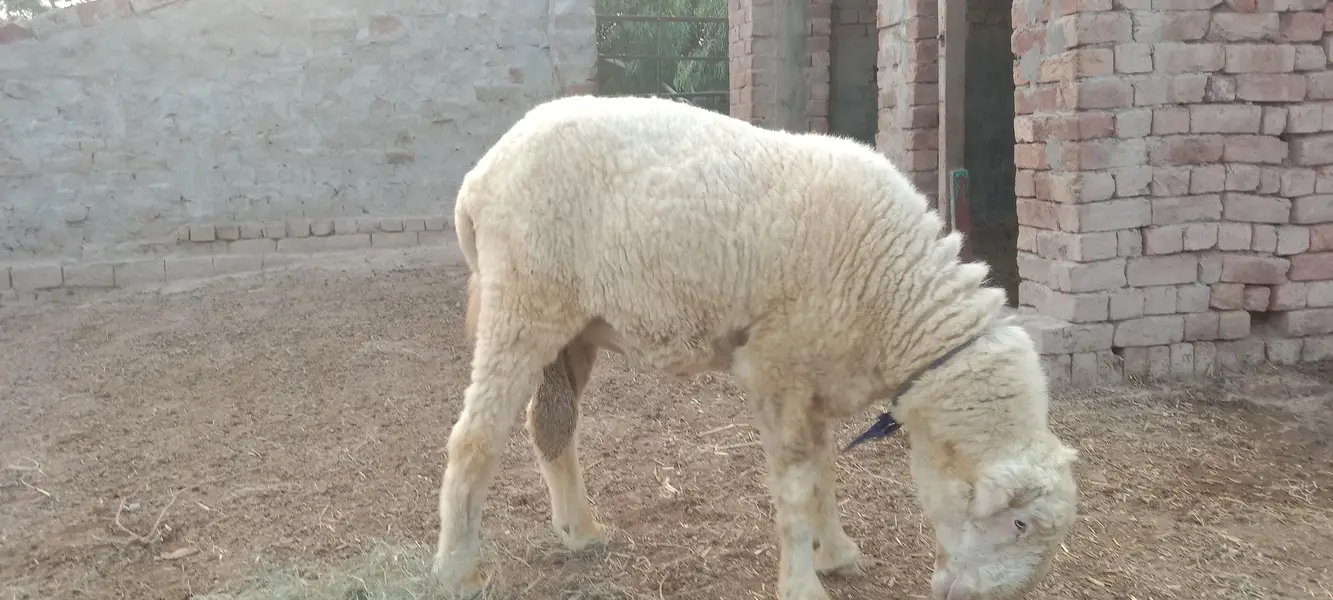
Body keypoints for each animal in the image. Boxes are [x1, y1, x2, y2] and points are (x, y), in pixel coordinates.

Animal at [431, 94, 1080, 600]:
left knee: (551, 426)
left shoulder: (815, 370)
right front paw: (804, 582)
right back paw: (456, 570)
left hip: (572, 326)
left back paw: (580, 532)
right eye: (1020, 525)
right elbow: (794, 486)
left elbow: (822, 469)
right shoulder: (776, 366)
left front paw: (835, 551)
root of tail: (478, 178)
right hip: (521, 303)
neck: (898, 298)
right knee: (474, 439)